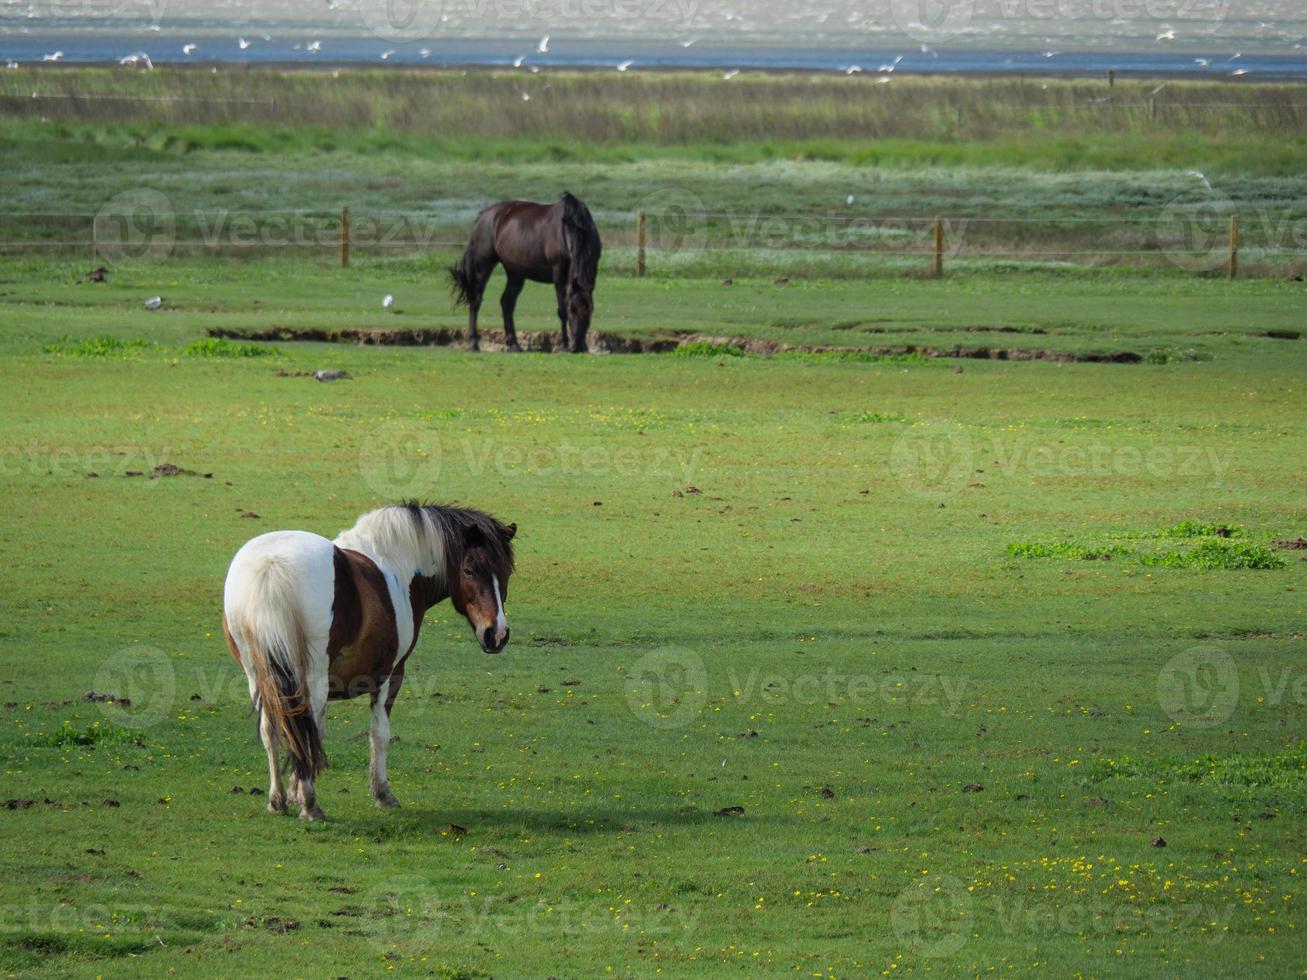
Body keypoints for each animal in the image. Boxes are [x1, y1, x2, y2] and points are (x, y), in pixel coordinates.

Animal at [222, 506, 512, 820]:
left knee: (273, 730)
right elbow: (378, 733)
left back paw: (277, 800)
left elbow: (309, 732)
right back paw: (311, 806)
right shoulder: (390, 675)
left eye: (506, 572)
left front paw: (294, 791)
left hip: (259, 677)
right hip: (312, 679)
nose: (497, 634)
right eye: (469, 570)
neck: (397, 564)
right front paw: (381, 793)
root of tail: (272, 565)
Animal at [444, 192, 598, 358]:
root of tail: (482, 217)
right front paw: (564, 346)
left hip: (515, 273)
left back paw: (514, 345)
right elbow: (561, 310)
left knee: (507, 303)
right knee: (476, 300)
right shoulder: (559, 275)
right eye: (572, 310)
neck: (570, 229)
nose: (578, 347)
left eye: (589, 311)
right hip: (483, 265)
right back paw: (474, 344)